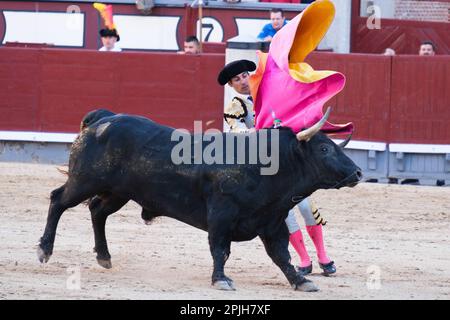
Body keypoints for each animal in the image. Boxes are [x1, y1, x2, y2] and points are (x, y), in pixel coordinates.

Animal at [37, 110, 362, 292]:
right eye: (324, 149)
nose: (358, 172)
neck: (266, 164)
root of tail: (101, 120)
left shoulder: (271, 221)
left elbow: (282, 255)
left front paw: (301, 281)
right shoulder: (221, 216)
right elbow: (220, 250)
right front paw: (221, 280)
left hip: (118, 192)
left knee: (97, 211)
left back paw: (104, 257)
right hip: (84, 182)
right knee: (58, 201)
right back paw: (44, 250)